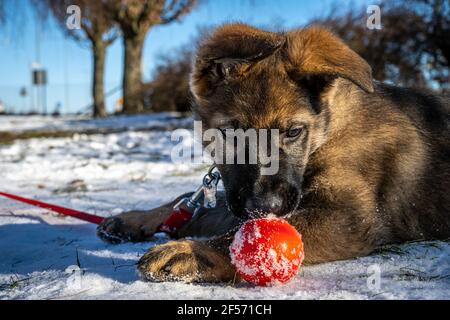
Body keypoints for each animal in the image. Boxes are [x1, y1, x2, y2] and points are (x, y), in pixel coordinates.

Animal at [97, 22, 450, 282]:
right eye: (232, 132)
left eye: (293, 132)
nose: (266, 206)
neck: (327, 134)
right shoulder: (242, 197)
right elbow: (198, 205)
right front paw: (136, 218)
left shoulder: (346, 217)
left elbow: (237, 236)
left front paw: (191, 252)